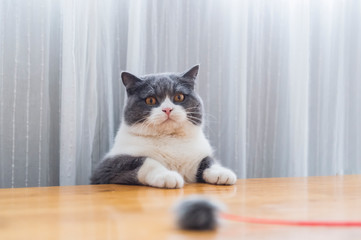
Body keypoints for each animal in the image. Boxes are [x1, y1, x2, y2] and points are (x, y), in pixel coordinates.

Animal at [90, 65, 236, 188]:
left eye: (179, 97)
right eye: (150, 100)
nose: (167, 109)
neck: (170, 139)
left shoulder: (198, 156)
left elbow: (208, 160)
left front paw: (221, 173)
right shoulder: (107, 167)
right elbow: (146, 161)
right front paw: (167, 175)